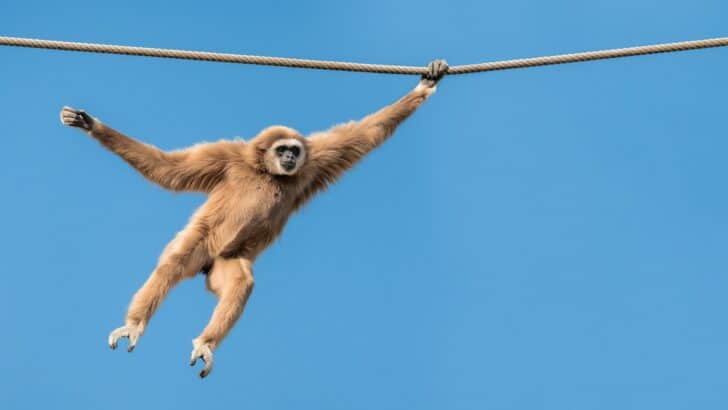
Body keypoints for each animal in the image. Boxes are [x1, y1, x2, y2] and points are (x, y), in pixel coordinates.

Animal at [60, 59, 448, 378]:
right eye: (282, 149)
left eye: (294, 150)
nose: (290, 158)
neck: (267, 173)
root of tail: (207, 263)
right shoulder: (226, 157)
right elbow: (169, 169)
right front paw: (91, 125)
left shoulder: (313, 164)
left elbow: (365, 134)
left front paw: (426, 84)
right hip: (203, 243)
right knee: (174, 263)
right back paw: (135, 324)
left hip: (223, 262)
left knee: (241, 282)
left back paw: (206, 343)